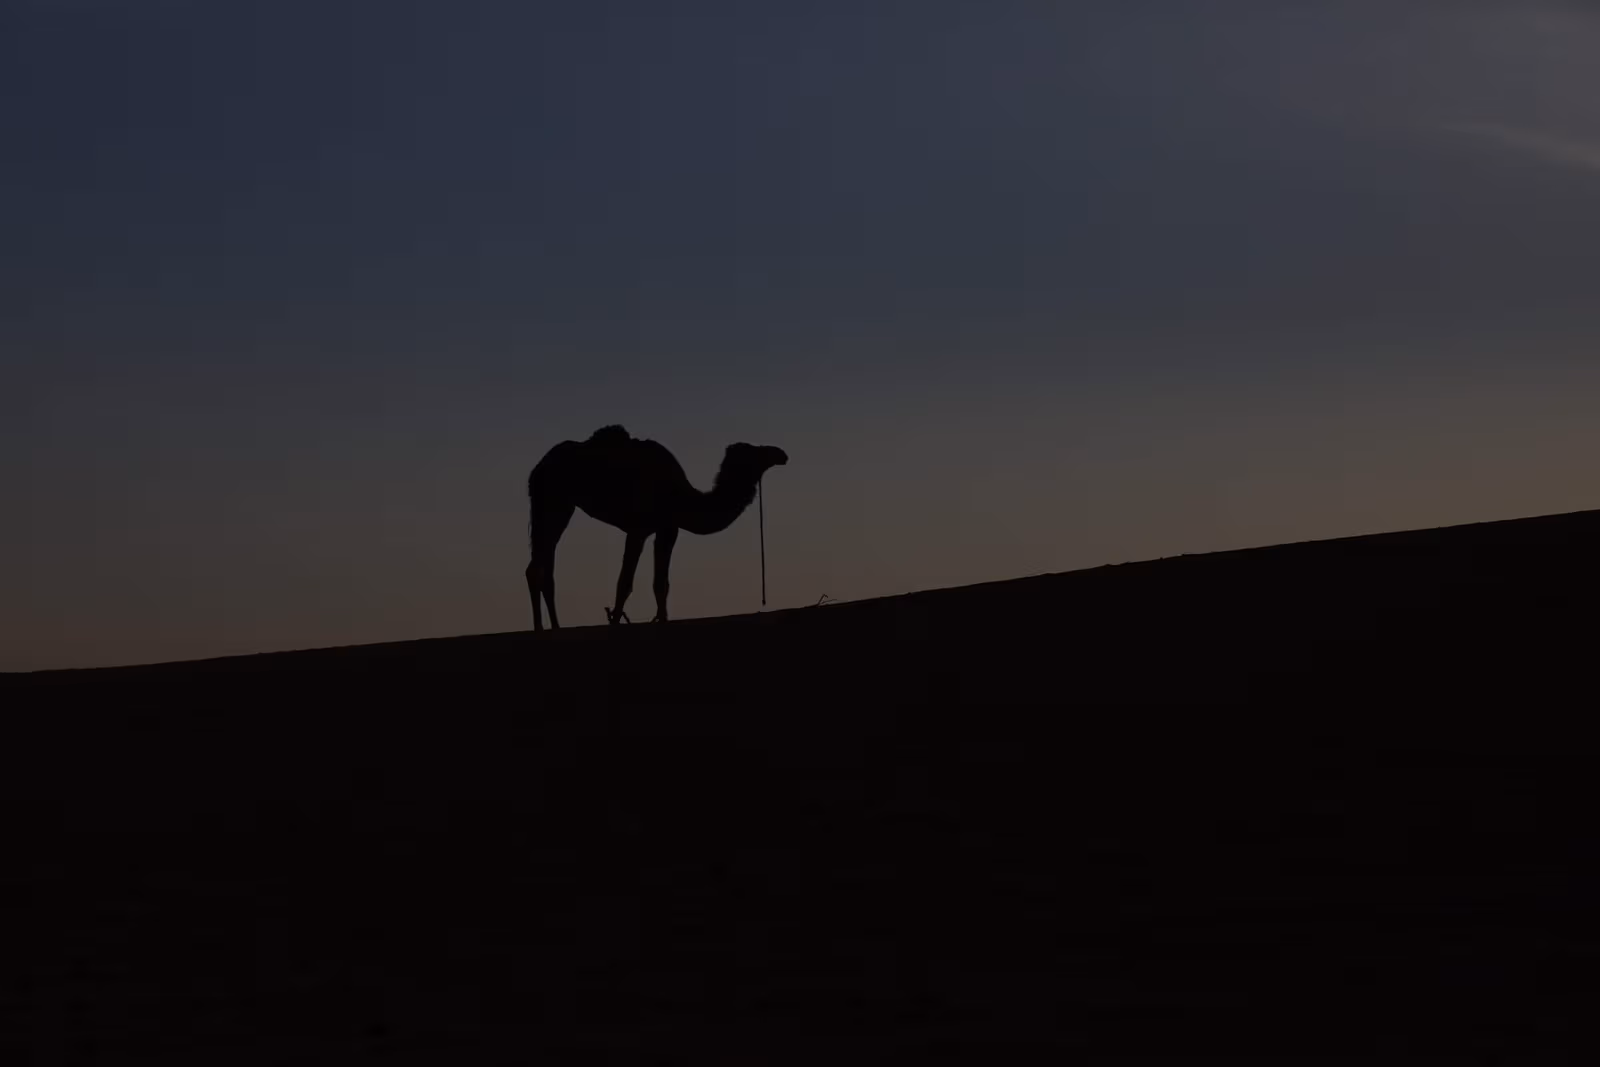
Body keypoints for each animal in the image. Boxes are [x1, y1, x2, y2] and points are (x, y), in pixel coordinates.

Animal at [525, 425, 788, 631]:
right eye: (753, 451)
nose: (781, 453)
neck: (679, 496)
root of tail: (540, 465)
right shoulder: (638, 528)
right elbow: (625, 583)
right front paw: (615, 623)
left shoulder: (668, 529)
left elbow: (661, 583)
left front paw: (663, 620)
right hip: (550, 499)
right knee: (537, 566)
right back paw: (540, 628)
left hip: (560, 505)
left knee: (544, 566)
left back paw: (554, 627)